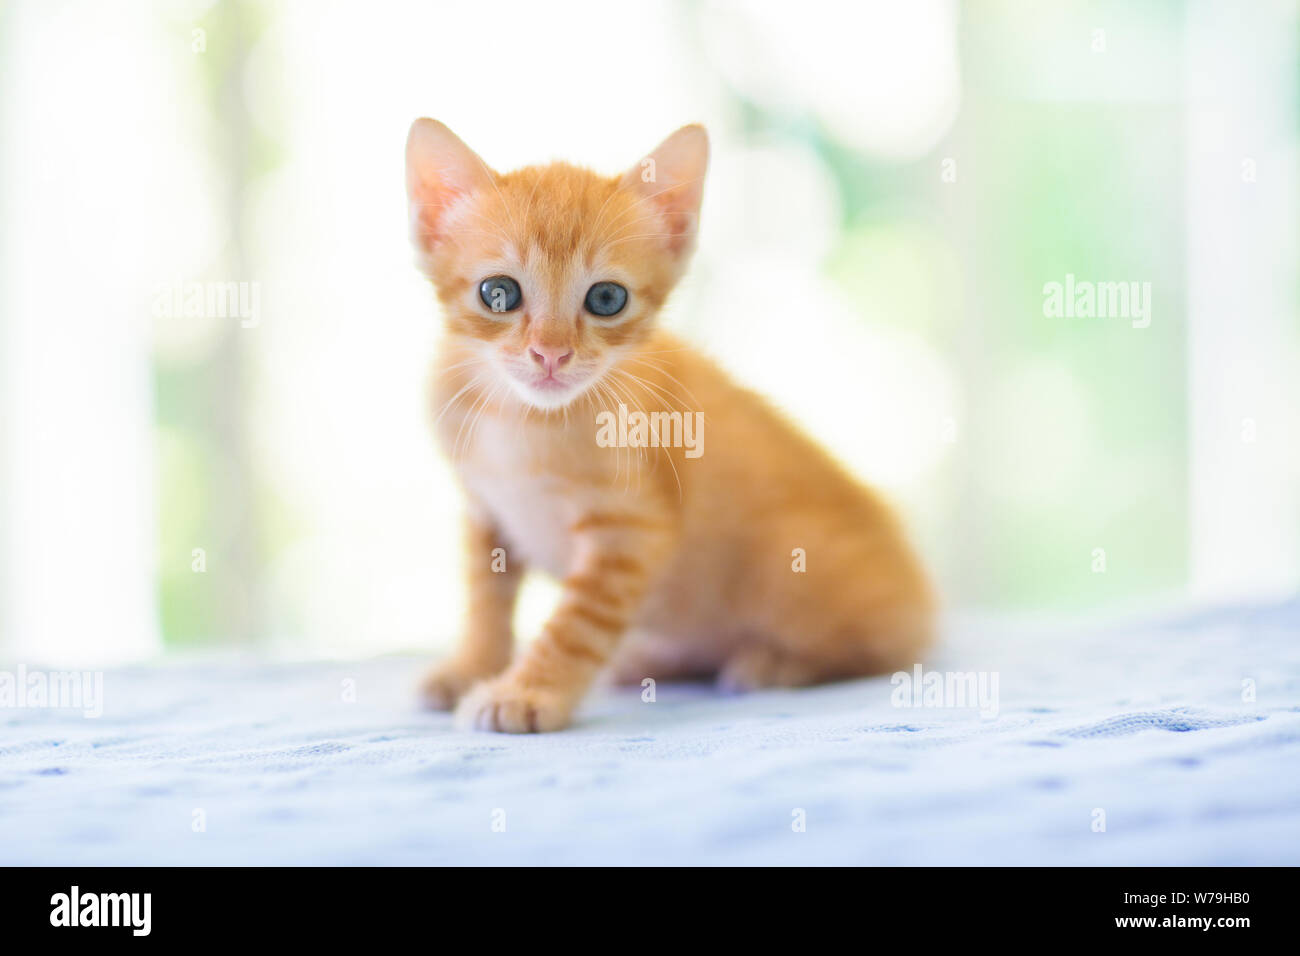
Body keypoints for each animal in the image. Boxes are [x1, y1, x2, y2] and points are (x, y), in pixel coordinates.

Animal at [405, 117, 935, 733]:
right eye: (498, 293)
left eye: (606, 298)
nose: (551, 355)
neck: (520, 417)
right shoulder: (486, 510)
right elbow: (485, 597)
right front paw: (470, 665)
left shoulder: (632, 529)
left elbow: (576, 625)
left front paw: (527, 692)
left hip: (795, 575)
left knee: (882, 651)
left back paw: (772, 664)